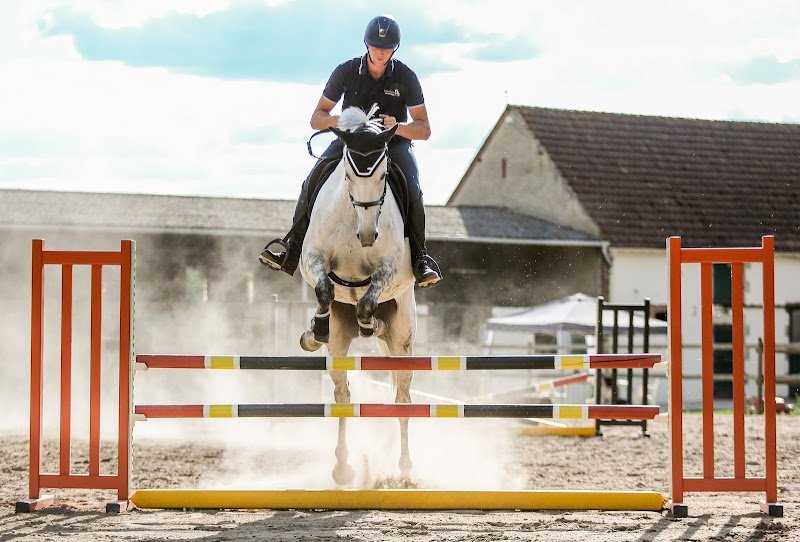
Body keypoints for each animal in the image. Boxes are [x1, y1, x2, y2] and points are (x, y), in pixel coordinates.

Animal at [297, 106, 417, 485]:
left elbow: (366, 302)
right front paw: (314, 331)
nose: (367, 235)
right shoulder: (312, 260)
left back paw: (405, 470)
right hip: (339, 347)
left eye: (384, 175)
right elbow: (323, 288)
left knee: (403, 399)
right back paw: (342, 468)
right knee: (342, 394)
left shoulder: (389, 269)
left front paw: (370, 323)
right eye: (348, 174)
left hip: (404, 338)